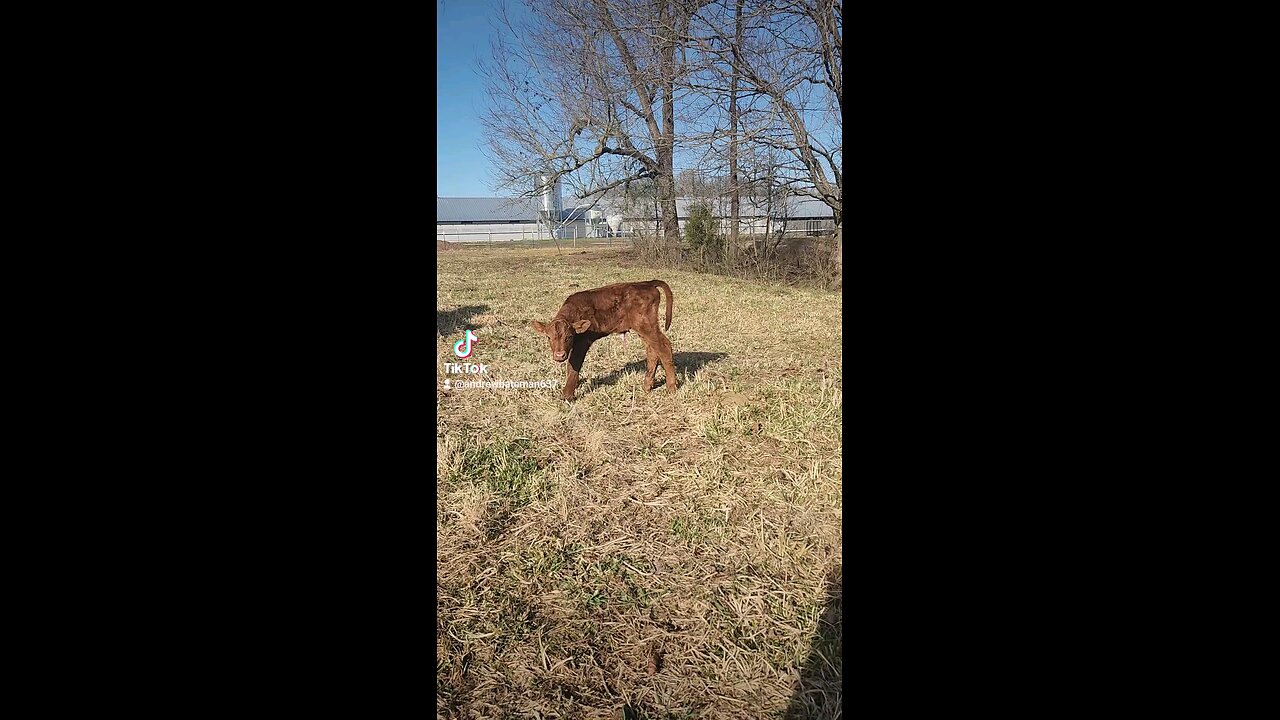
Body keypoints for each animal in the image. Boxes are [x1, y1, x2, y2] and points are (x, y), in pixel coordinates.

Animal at [529, 279, 675, 399]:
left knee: (664, 347)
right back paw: (647, 386)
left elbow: (573, 365)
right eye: (548, 337)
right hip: (643, 329)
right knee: (652, 351)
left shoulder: (582, 342)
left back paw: (671, 388)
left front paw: (567, 396)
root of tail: (646, 283)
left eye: (569, 336)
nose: (559, 355)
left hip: (647, 326)